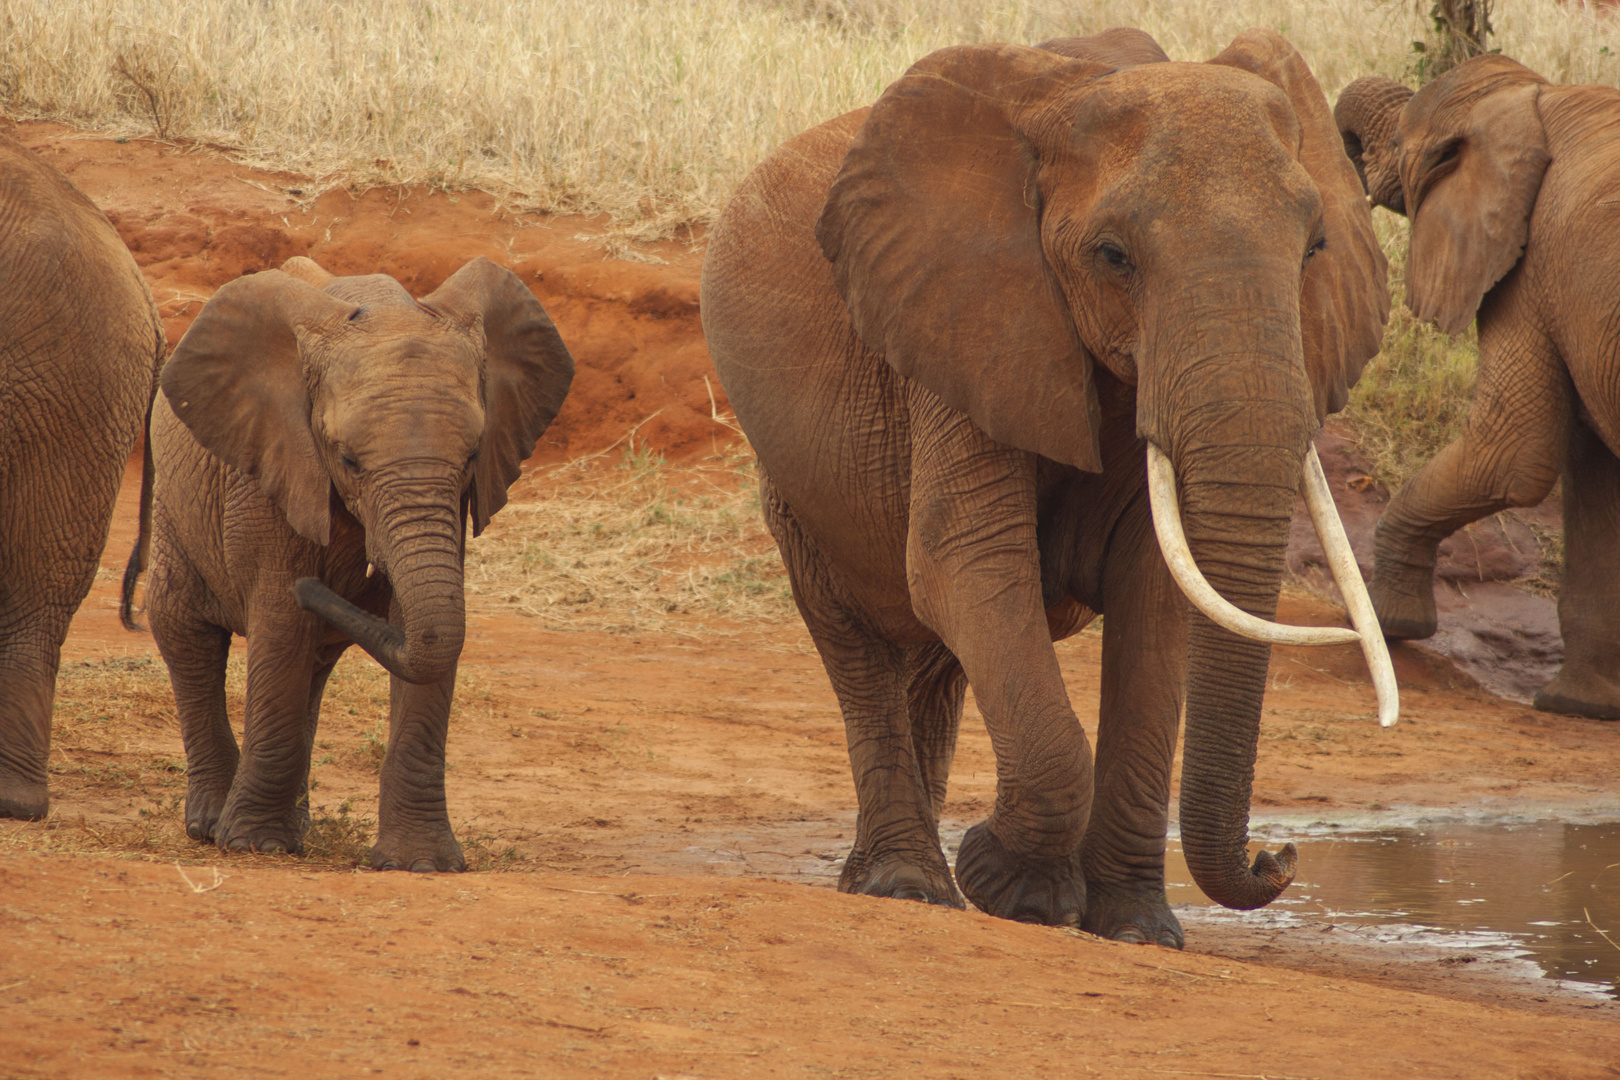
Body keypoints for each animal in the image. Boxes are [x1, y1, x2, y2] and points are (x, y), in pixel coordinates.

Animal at [132, 254, 576, 867]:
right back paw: (210, 825)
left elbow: (429, 635)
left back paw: (291, 829)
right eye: (347, 460)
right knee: (187, 635)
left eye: (471, 458)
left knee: (313, 667)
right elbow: (281, 627)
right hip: (178, 508)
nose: (318, 586)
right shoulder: (274, 469)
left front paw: (421, 863)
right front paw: (252, 846)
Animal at [703, 27, 1399, 945]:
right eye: (1113, 257)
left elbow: (1156, 593)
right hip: (793, 492)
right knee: (861, 643)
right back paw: (905, 887)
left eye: (1316, 250)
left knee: (937, 665)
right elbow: (966, 564)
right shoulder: (961, 319)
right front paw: (1016, 889)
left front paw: (1136, 930)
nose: (1278, 858)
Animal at [1334, 57, 1620, 718]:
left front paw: (1385, 624)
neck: (1530, 96)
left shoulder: (1530, 262)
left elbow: (1512, 453)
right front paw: (1585, 706)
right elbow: (1594, 477)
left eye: (1397, 145)